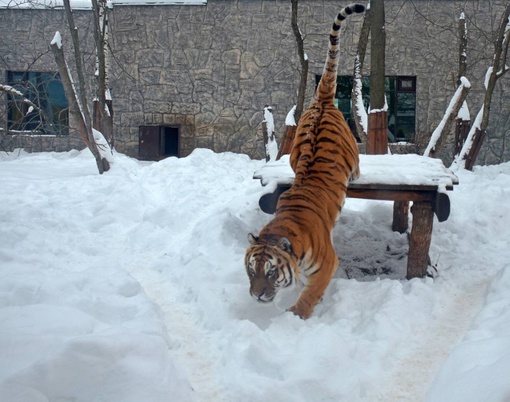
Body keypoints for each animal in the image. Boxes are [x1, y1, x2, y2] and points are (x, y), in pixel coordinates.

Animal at [246, 1, 362, 318]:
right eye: (251, 271)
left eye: (271, 272)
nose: (256, 295)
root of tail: (321, 101)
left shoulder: (326, 264)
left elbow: (309, 296)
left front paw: (295, 317)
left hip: (352, 148)